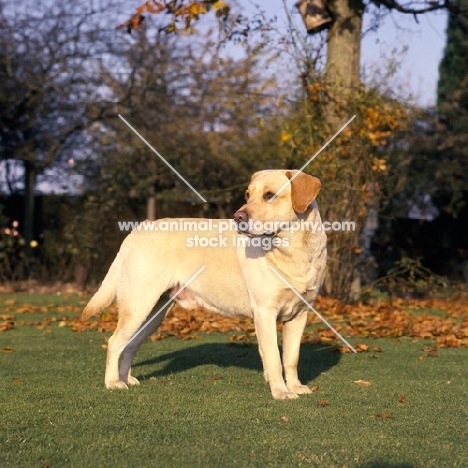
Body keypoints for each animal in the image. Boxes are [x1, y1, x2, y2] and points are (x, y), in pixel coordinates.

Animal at [83, 170, 326, 400]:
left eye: (269, 195)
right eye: (248, 195)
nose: (238, 216)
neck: (294, 250)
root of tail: (138, 229)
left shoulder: (300, 314)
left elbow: (291, 357)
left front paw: (295, 386)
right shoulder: (265, 312)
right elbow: (274, 357)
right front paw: (281, 392)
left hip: (154, 314)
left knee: (130, 345)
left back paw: (126, 379)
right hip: (138, 305)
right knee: (114, 342)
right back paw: (113, 383)